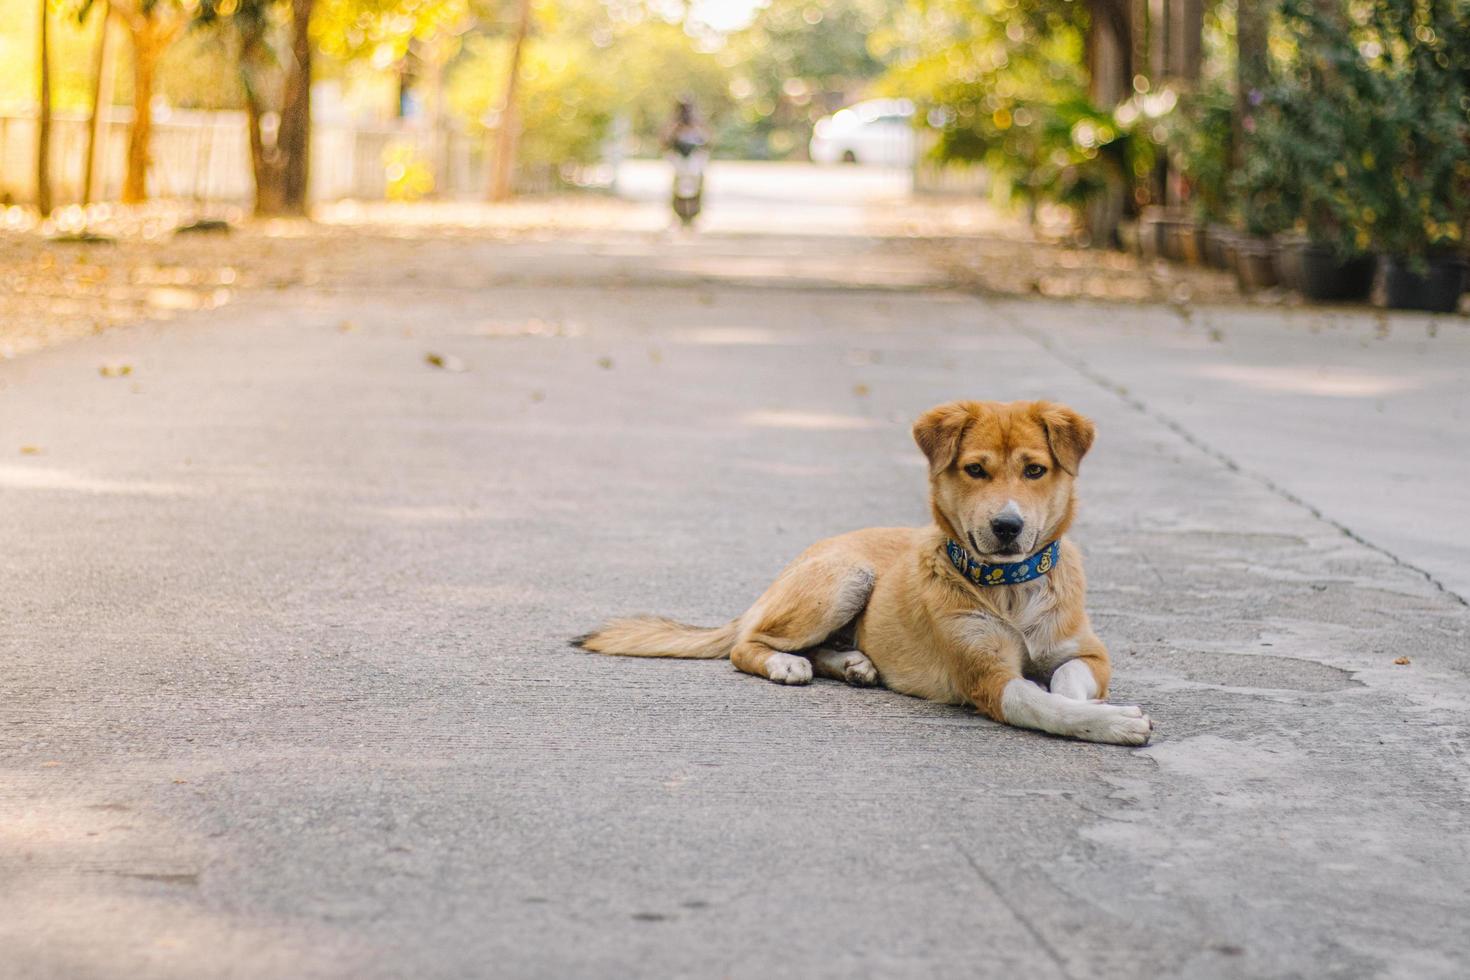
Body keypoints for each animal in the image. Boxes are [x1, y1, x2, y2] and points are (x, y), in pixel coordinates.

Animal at [573, 399, 1146, 743]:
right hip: (845, 579)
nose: (1007, 526)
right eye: (975, 469)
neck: (1010, 588)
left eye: (1034, 470)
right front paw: (1114, 723)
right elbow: (1045, 706)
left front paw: (1096, 708)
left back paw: (855, 663)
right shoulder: (986, 677)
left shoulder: (1089, 655)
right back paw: (786, 663)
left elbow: (1065, 683)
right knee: (747, 645)